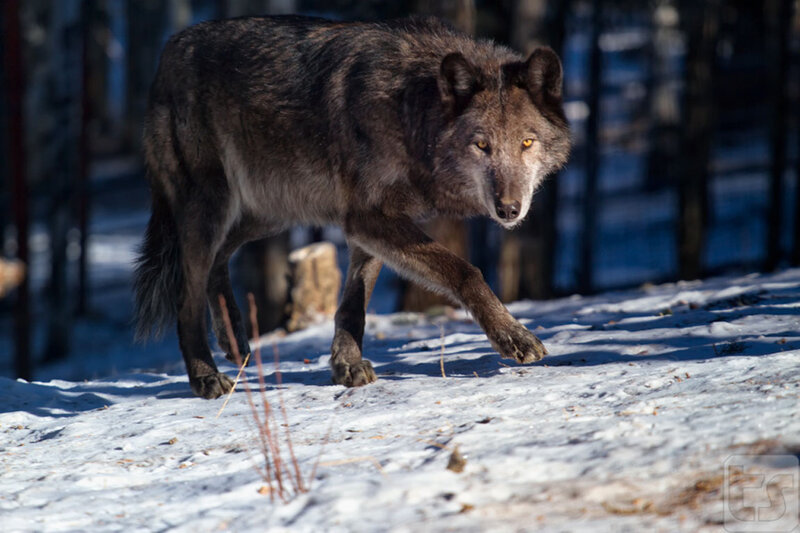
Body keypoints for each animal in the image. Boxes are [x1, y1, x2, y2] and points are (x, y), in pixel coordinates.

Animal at [133, 15, 571, 399]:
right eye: (482, 145)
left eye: (527, 143)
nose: (509, 210)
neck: (410, 109)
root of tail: (168, 51)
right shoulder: (367, 217)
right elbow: (466, 271)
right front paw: (514, 336)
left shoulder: (367, 222)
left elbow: (353, 302)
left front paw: (345, 365)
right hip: (213, 210)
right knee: (186, 297)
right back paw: (204, 376)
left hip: (272, 210)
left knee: (218, 262)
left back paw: (235, 341)